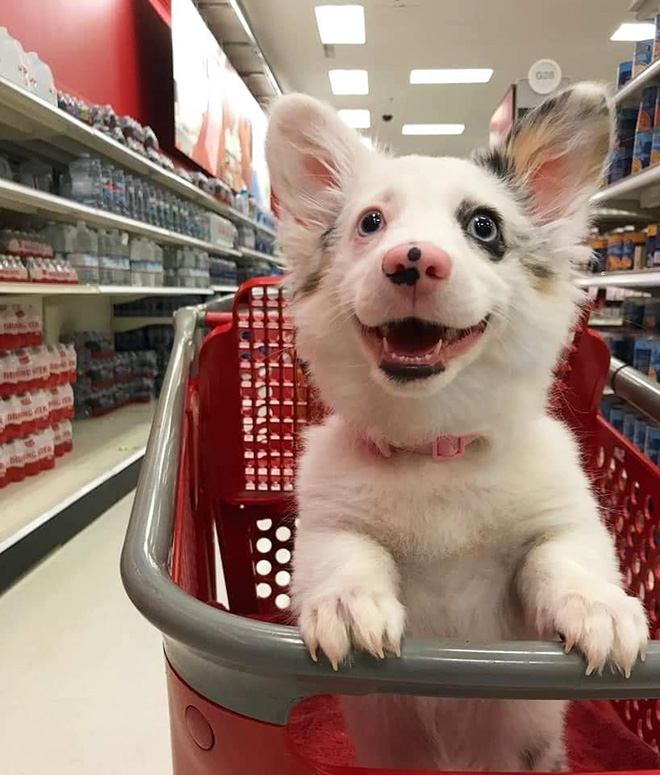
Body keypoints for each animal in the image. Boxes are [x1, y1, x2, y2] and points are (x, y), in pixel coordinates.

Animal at [266, 82, 648, 772]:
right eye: (370, 223)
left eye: (484, 227)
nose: (411, 260)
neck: (433, 446)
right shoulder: (325, 528)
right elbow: (346, 554)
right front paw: (347, 601)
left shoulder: (563, 524)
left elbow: (562, 558)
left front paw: (599, 606)